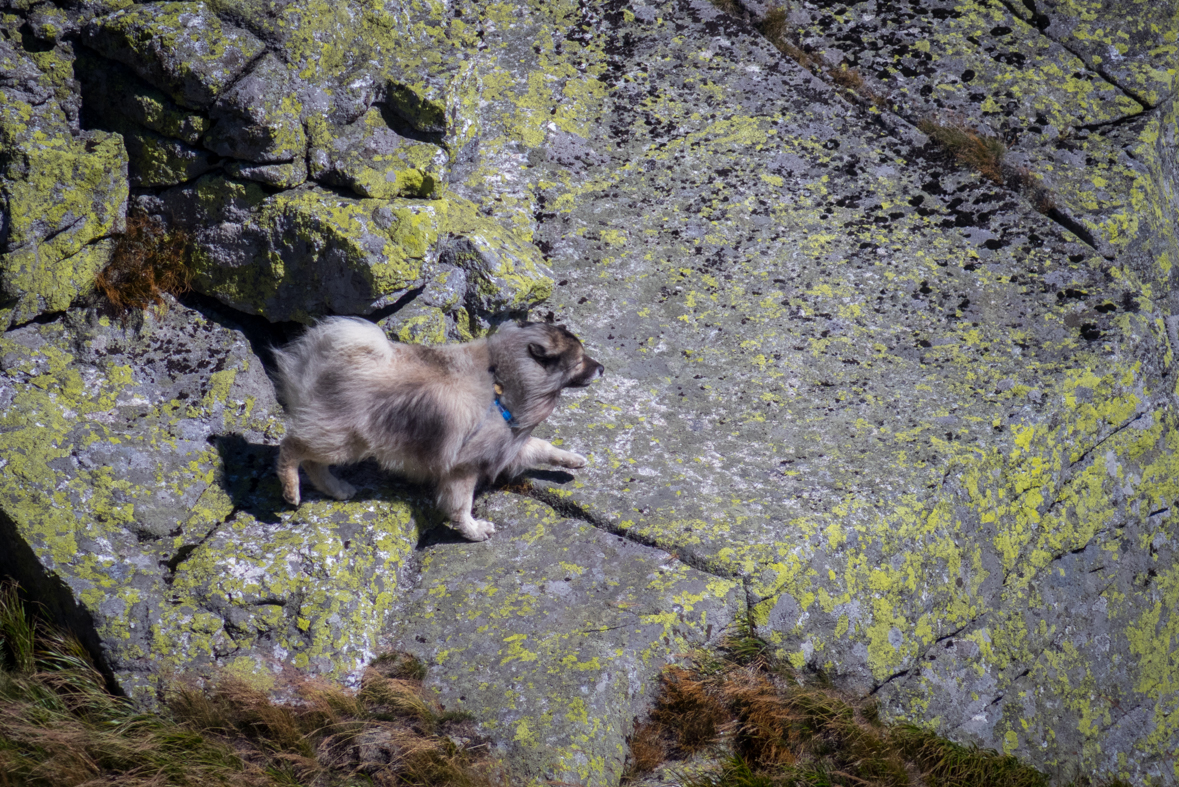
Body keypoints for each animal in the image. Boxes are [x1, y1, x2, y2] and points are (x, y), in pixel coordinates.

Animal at [272, 315, 603, 537]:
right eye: (578, 362)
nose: (601, 367)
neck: (505, 381)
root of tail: (321, 359)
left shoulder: (506, 442)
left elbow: (543, 447)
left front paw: (572, 460)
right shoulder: (463, 467)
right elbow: (461, 505)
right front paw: (473, 530)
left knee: (313, 462)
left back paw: (337, 489)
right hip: (345, 440)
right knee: (292, 448)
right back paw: (291, 489)